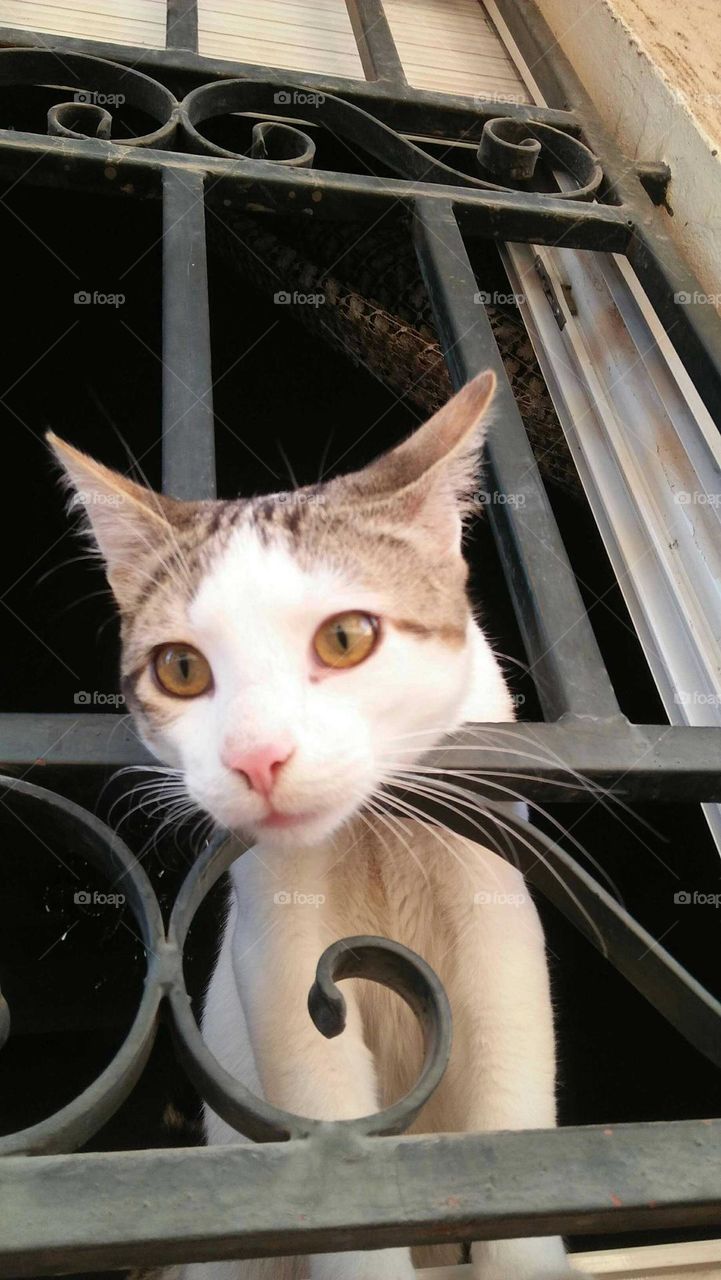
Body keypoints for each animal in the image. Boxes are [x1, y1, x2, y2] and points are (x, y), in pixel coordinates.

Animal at [49, 371, 576, 1280]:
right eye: (180, 669)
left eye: (345, 638)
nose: (257, 758)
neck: (372, 837)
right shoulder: (281, 955)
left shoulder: (499, 921)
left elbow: (512, 1120)